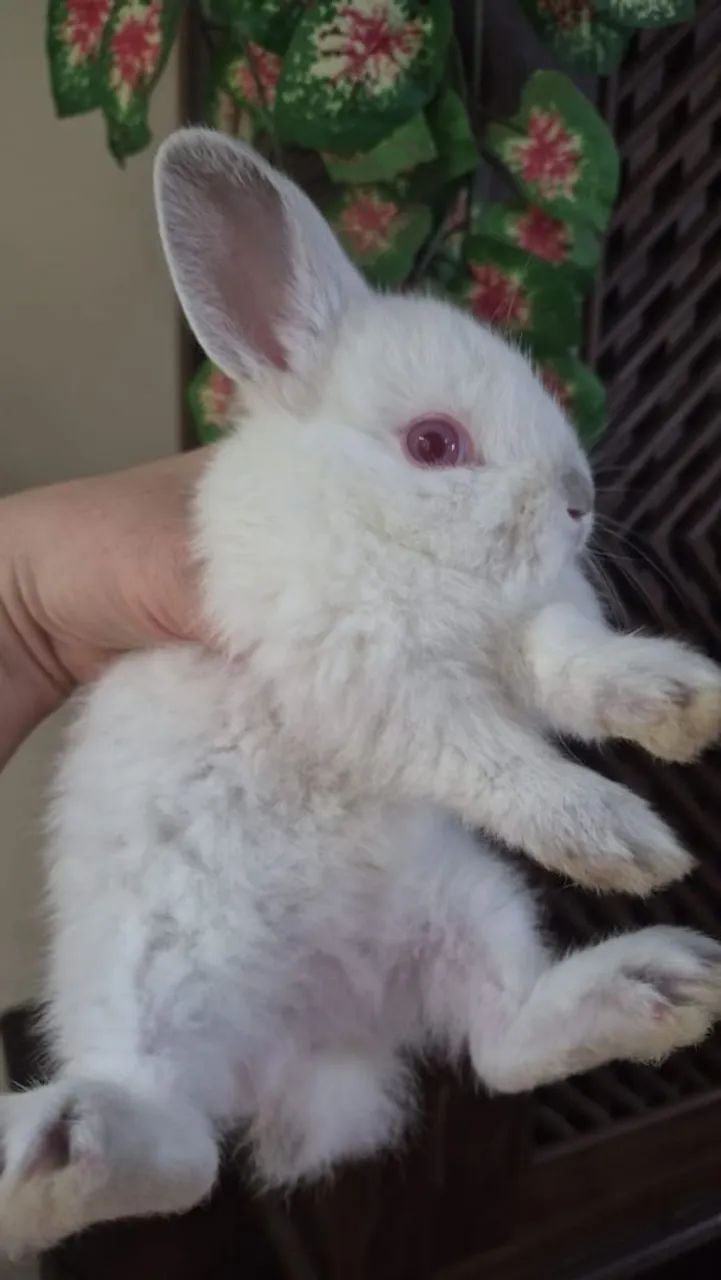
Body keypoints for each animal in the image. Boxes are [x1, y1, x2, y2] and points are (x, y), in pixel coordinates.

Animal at [2, 127, 721, 1255]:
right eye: (433, 443)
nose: (578, 502)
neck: (393, 539)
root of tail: (319, 1044)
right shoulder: (367, 682)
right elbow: (491, 757)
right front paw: (616, 837)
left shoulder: (526, 634)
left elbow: (569, 666)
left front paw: (677, 699)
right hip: (149, 975)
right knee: (180, 1144)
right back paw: (64, 1153)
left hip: (467, 905)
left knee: (502, 1039)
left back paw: (661, 985)